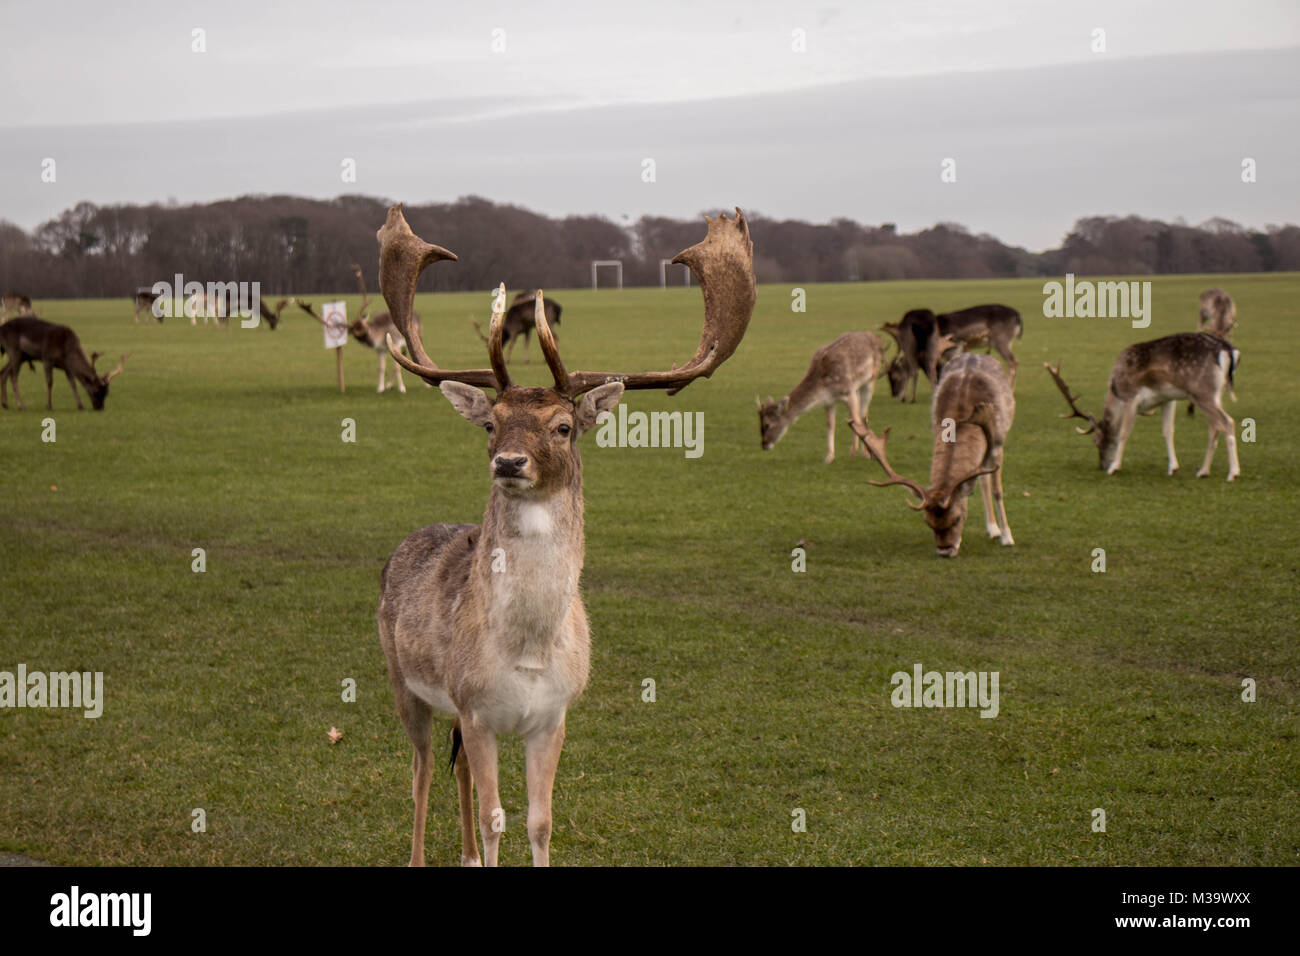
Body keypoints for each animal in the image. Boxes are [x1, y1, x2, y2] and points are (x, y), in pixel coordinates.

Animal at [1, 317, 129, 411]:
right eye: (96, 391)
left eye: (107, 392)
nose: (100, 407)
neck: (67, 351)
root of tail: (2, 329)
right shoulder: (47, 358)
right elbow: (49, 382)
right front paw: (49, 406)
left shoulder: (67, 367)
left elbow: (73, 384)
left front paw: (80, 406)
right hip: (14, 350)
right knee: (13, 377)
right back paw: (21, 406)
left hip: (22, 356)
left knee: (4, 372)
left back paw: (5, 404)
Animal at [371, 201, 759, 868]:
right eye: (492, 424)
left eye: (563, 427)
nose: (508, 462)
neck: (528, 650)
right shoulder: (476, 707)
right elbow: (497, 819)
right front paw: (484, 846)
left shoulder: (553, 716)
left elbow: (540, 821)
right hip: (406, 682)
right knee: (420, 771)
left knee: (454, 771)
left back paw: (463, 856)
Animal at [759, 330, 889, 463]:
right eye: (760, 423)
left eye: (767, 424)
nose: (764, 445)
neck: (823, 387)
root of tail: (877, 337)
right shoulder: (829, 400)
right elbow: (830, 424)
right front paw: (829, 457)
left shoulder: (848, 391)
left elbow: (856, 422)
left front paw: (854, 453)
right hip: (857, 388)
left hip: (871, 379)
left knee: (862, 414)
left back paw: (866, 453)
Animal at [852, 356, 1013, 556]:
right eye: (928, 522)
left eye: (957, 518)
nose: (944, 551)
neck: (962, 410)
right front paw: (961, 540)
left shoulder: (997, 442)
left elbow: (997, 491)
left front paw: (1007, 538)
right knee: (982, 478)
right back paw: (991, 528)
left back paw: (998, 531)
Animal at [1045, 330, 1237, 478]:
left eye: (1096, 441)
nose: (1102, 465)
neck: (1115, 391)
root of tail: (1227, 349)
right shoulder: (1168, 399)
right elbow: (1168, 431)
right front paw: (1173, 468)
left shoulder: (1131, 397)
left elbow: (1123, 433)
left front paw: (1115, 468)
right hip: (1215, 393)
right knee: (1214, 426)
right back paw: (1203, 471)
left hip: (1201, 392)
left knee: (1227, 422)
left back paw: (1233, 473)